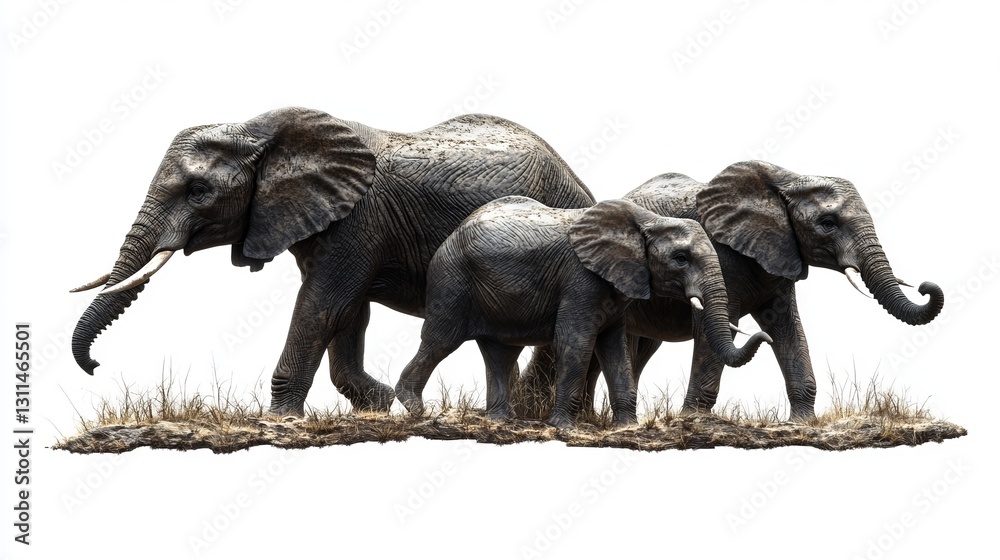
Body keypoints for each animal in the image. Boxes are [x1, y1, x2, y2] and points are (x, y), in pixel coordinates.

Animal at [70, 106, 598, 415]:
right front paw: (380, 407)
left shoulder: (358, 217)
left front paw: (278, 421)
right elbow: (349, 313)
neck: (261, 129)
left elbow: (324, 305)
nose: (96, 366)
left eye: (199, 192)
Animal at [393, 196, 773, 428]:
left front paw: (627, 428)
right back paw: (414, 408)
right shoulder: (581, 278)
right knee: (441, 339)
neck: (645, 220)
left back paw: (502, 422)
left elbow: (614, 348)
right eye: (680, 258)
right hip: (452, 279)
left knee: (500, 352)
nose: (764, 335)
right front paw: (563, 427)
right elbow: (575, 341)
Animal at [523, 160, 944, 421]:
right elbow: (711, 332)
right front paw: (692, 421)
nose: (926, 286)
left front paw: (801, 424)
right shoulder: (722, 258)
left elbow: (787, 327)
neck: (788, 179)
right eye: (827, 223)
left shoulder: (778, 256)